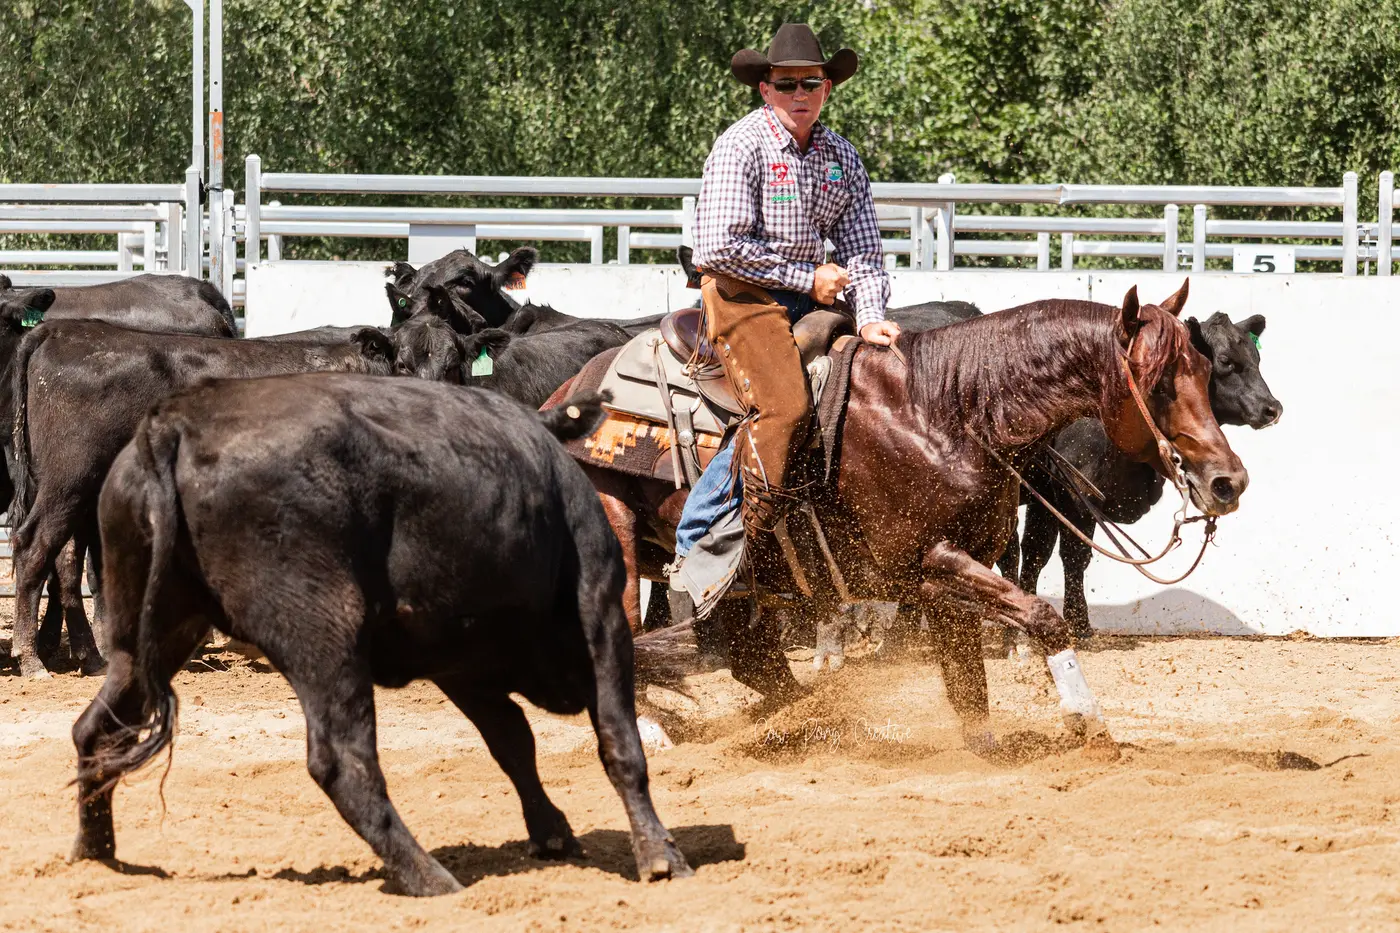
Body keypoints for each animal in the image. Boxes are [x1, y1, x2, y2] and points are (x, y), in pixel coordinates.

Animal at [564, 281, 1246, 756]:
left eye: (1205, 371)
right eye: (1157, 382)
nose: (1228, 481)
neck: (944, 411)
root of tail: (569, 390)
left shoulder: (949, 582)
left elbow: (968, 685)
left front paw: (986, 748)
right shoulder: (934, 562)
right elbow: (1042, 617)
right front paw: (1089, 723)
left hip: (737, 580)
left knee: (752, 659)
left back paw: (818, 722)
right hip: (617, 540)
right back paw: (654, 732)